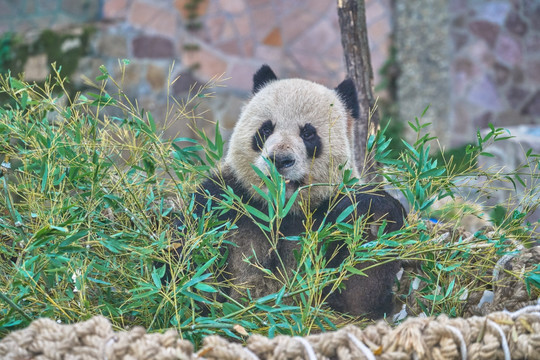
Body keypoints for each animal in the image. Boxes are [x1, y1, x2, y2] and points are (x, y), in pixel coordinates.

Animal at [175, 64, 408, 318]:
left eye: (308, 133)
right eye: (266, 129)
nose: (280, 159)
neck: (280, 208)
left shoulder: (329, 217)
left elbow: (357, 298)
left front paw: (375, 210)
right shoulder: (225, 199)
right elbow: (188, 268)